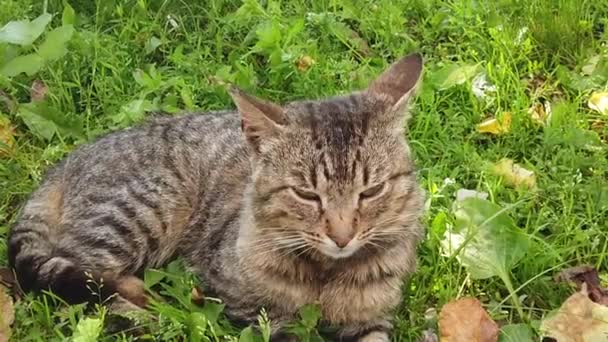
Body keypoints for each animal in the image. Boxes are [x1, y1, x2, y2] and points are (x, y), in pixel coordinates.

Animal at [10, 52, 428, 340]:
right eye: (306, 194)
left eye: (371, 190)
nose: (342, 237)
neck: (326, 275)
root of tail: (68, 161)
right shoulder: (250, 308)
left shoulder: (372, 318)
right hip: (141, 213)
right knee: (84, 282)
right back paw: (153, 307)